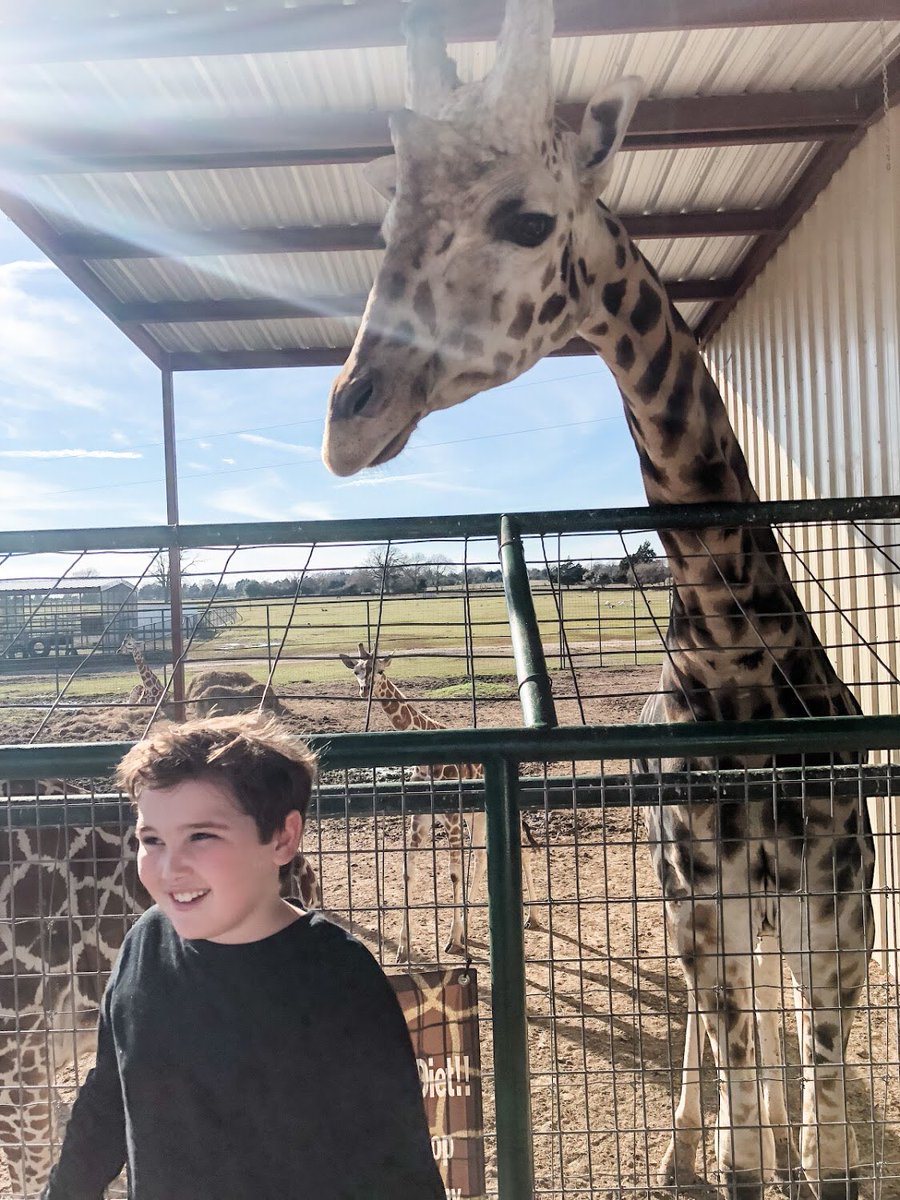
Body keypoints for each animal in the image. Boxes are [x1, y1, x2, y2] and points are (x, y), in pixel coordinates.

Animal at [339, 644, 540, 961]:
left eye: (380, 670)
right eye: (357, 670)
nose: (365, 689)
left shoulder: (451, 817)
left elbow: (454, 875)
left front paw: (453, 940)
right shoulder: (419, 818)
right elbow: (409, 873)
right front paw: (404, 947)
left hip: (492, 816)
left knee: (519, 852)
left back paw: (532, 918)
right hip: (476, 816)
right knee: (481, 857)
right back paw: (470, 926)